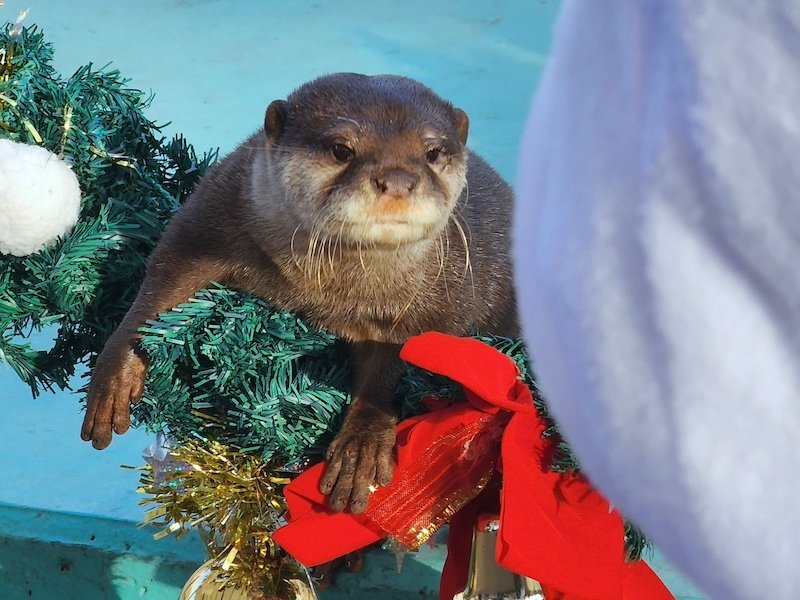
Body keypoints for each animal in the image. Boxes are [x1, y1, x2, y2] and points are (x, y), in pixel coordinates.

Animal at [81, 72, 520, 516]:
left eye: (432, 152)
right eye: (342, 149)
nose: (397, 179)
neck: (327, 293)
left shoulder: (437, 301)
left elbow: (393, 365)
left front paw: (361, 445)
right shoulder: (214, 214)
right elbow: (160, 285)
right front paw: (115, 376)